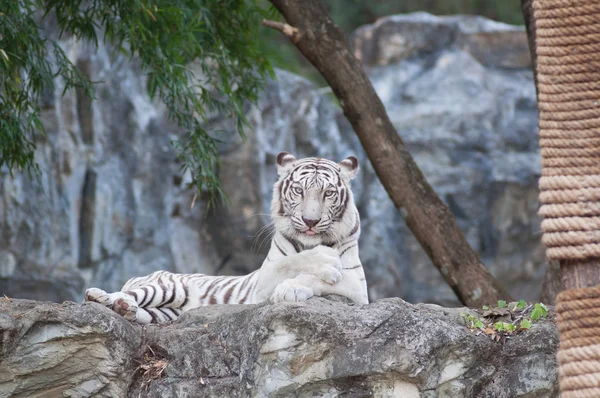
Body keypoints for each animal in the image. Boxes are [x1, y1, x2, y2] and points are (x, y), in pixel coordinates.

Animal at [82, 152, 368, 324]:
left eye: (328, 193)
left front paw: (292, 288)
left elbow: (318, 279)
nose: (310, 221)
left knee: (141, 311)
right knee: (123, 292)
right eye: (299, 191)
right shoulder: (264, 280)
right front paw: (324, 263)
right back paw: (101, 296)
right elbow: (292, 263)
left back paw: (124, 308)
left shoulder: (358, 287)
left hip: (166, 312)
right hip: (166, 286)